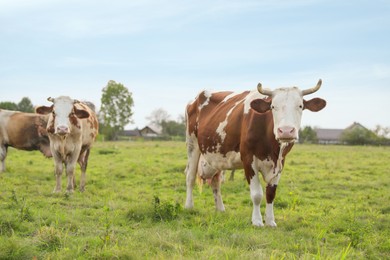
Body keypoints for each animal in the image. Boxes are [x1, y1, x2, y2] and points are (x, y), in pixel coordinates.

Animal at [186, 78, 326, 225]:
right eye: (273, 107)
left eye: (300, 106)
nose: (286, 131)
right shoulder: (248, 160)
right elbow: (257, 194)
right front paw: (257, 221)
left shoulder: (280, 163)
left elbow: (271, 193)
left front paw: (270, 221)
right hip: (192, 144)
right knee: (190, 176)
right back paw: (189, 206)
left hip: (216, 156)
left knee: (215, 181)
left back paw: (220, 209)